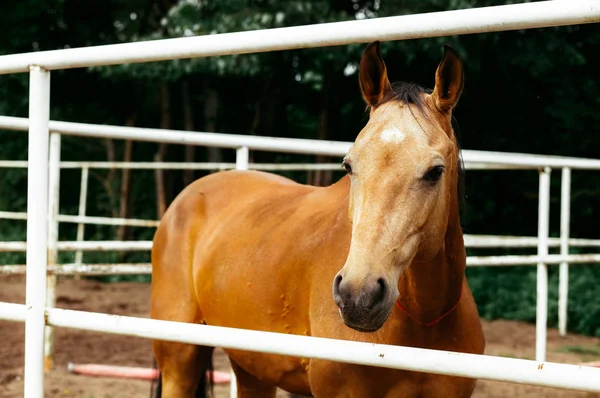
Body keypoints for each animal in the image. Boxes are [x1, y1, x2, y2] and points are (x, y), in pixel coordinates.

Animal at [150, 41, 482, 398]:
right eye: (349, 165)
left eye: (435, 171)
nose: (358, 296)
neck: (424, 321)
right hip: (180, 362)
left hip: (252, 367)